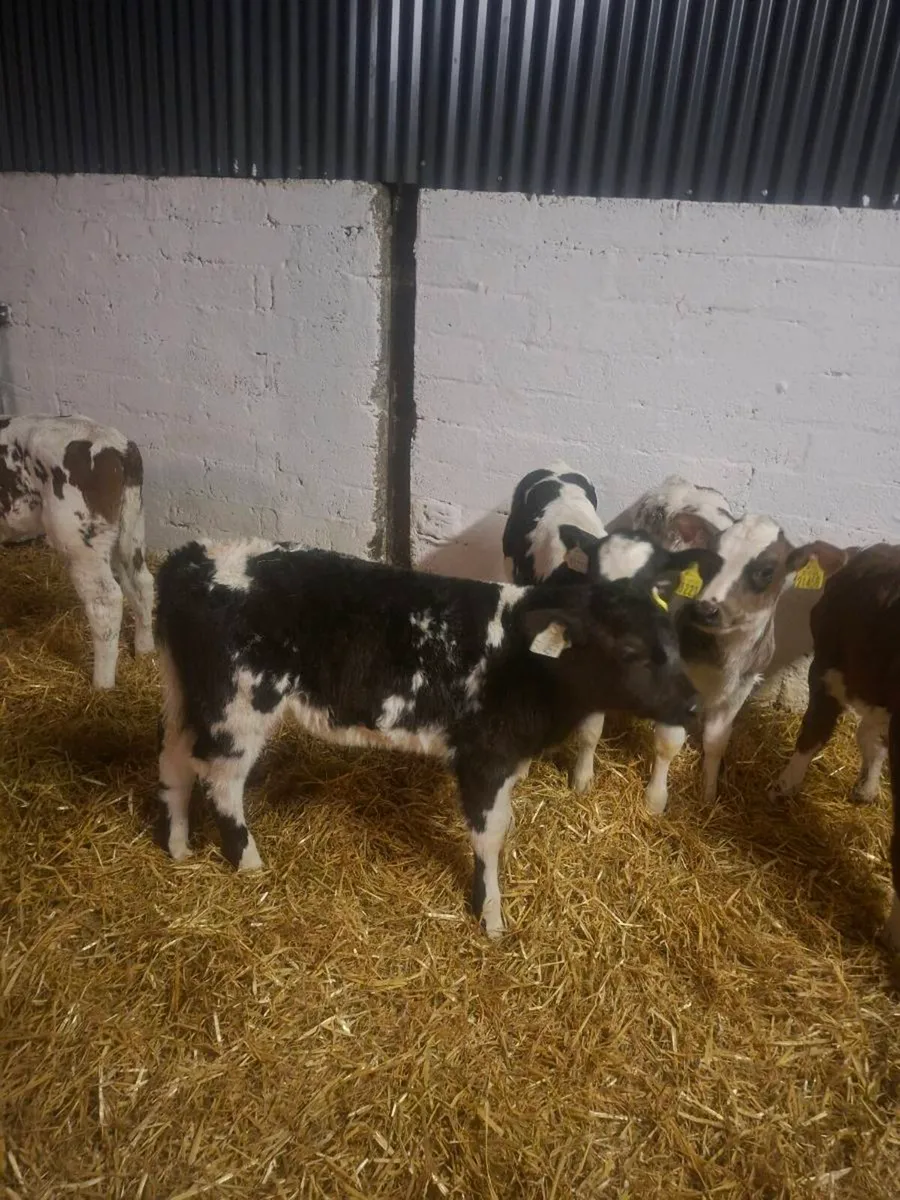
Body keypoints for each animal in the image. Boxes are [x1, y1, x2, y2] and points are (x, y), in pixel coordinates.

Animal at [0, 414, 155, 688]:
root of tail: (116, 445)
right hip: (131, 524)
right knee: (141, 582)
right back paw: (145, 650)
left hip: (78, 538)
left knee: (105, 600)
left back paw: (102, 685)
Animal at [154, 539, 701, 938]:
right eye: (631, 651)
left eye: (674, 637)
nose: (694, 704)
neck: (526, 661)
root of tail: (192, 558)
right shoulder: (484, 757)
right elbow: (490, 836)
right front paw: (491, 917)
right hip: (237, 708)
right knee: (222, 782)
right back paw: (249, 866)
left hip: (185, 692)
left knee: (173, 760)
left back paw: (178, 846)